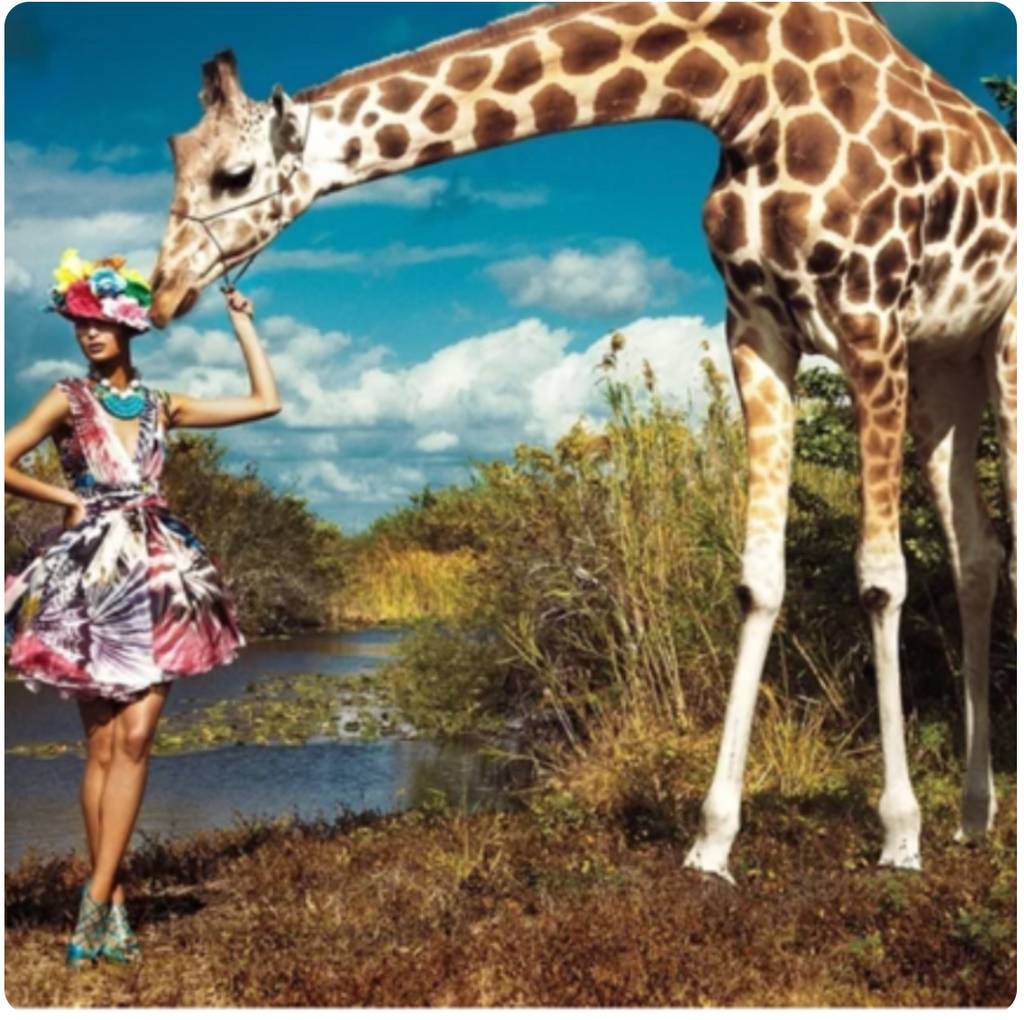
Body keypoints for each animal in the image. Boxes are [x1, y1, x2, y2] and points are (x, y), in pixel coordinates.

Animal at [150, 2, 1017, 877]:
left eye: (234, 175)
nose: (163, 291)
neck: (744, 91)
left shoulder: (871, 322)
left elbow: (879, 578)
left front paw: (899, 833)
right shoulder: (757, 330)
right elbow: (758, 580)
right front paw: (713, 840)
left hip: (998, 344)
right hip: (946, 362)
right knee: (977, 551)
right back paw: (975, 813)